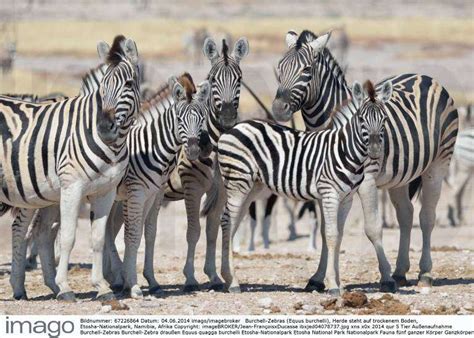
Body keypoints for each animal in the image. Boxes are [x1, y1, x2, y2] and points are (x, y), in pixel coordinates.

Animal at [2, 35, 143, 302]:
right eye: (102, 88)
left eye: (129, 84)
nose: (104, 128)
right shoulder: (72, 187)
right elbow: (68, 237)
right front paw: (65, 287)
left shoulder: (105, 192)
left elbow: (97, 239)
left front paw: (102, 287)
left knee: (22, 229)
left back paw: (19, 288)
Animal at [274, 29, 460, 294]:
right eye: (279, 68)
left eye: (307, 70)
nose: (278, 109)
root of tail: (424, 77)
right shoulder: (324, 187)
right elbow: (327, 230)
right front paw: (319, 278)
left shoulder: (366, 182)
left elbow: (372, 228)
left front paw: (385, 279)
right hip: (399, 176)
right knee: (406, 214)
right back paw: (401, 271)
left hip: (439, 163)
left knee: (427, 217)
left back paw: (424, 274)